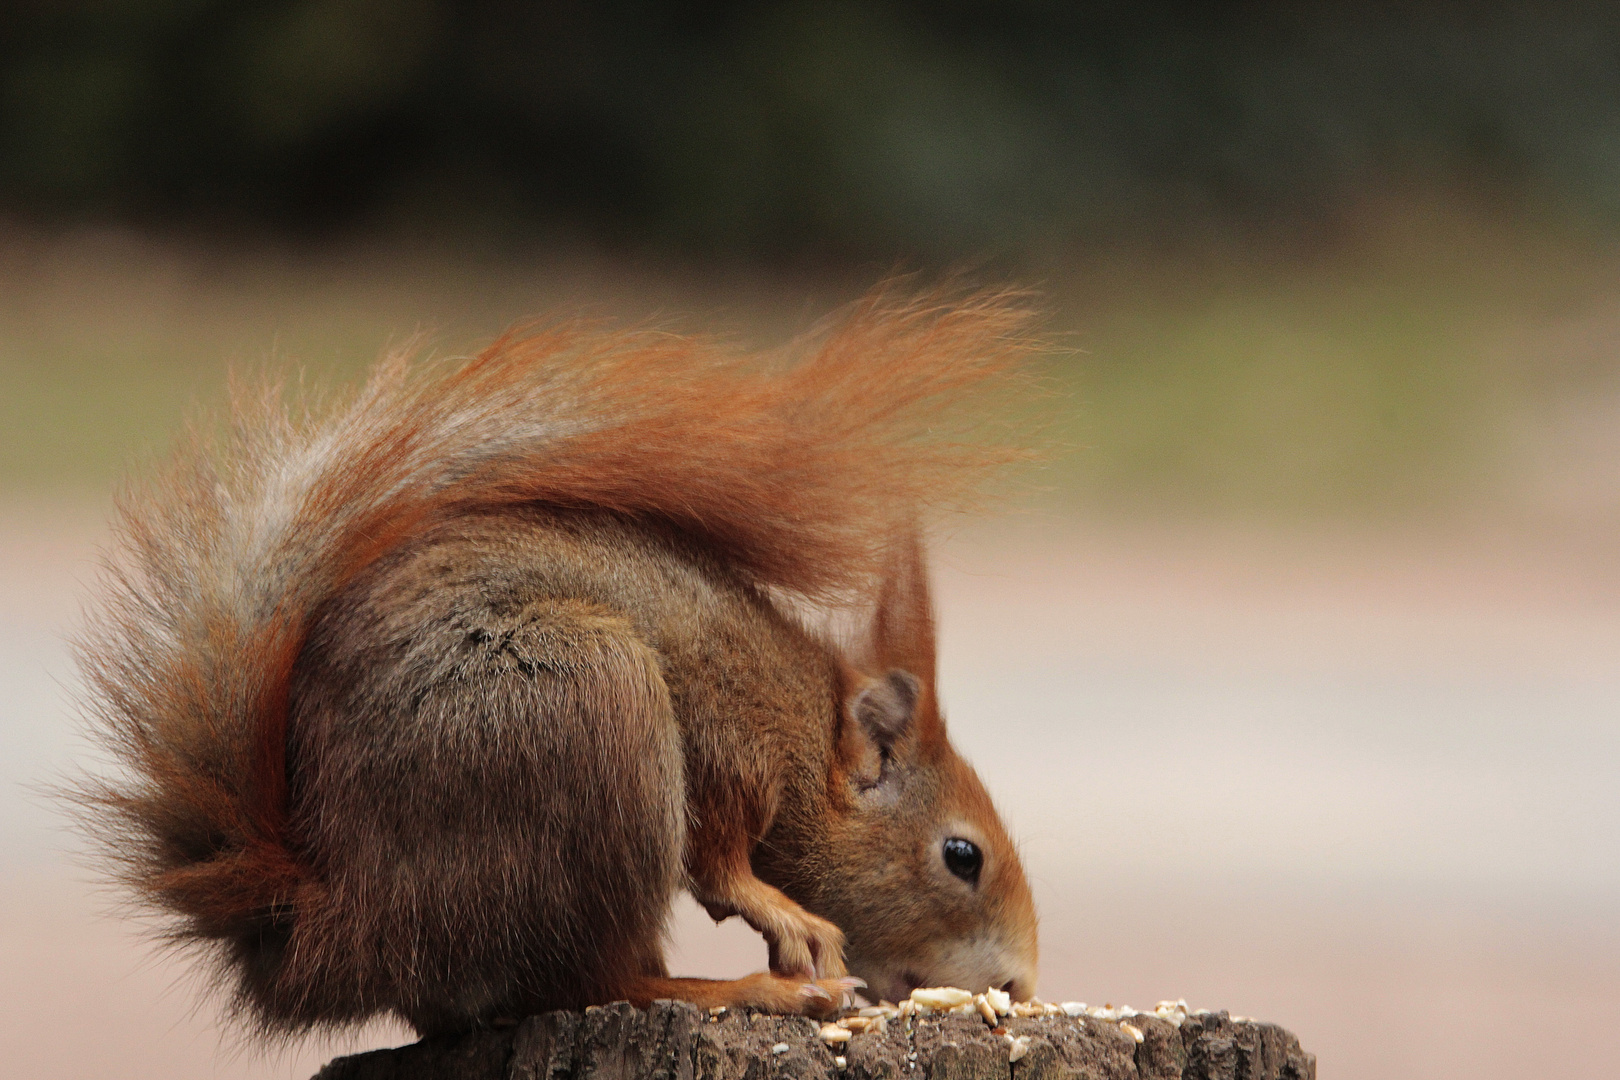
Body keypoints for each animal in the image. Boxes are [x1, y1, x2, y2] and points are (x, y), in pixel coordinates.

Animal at [72, 284, 1036, 1036]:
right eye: (962, 857)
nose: (1022, 984)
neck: (806, 725)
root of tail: (339, 924)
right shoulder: (732, 738)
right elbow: (722, 865)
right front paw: (785, 916)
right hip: (593, 712)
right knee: (597, 983)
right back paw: (756, 991)